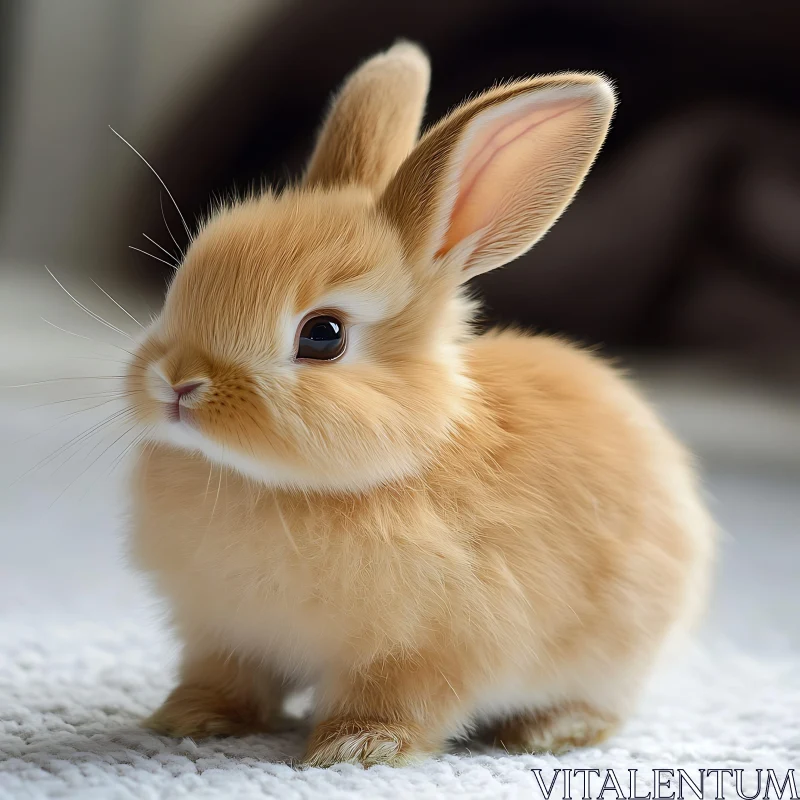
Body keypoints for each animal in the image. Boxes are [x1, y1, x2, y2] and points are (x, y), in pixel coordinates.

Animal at [125, 40, 712, 764]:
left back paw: (549, 731)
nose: (177, 383)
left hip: (613, 649)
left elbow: (399, 701)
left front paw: (357, 748)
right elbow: (227, 678)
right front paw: (190, 718)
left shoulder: (427, 652)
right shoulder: (225, 634)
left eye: (323, 335)